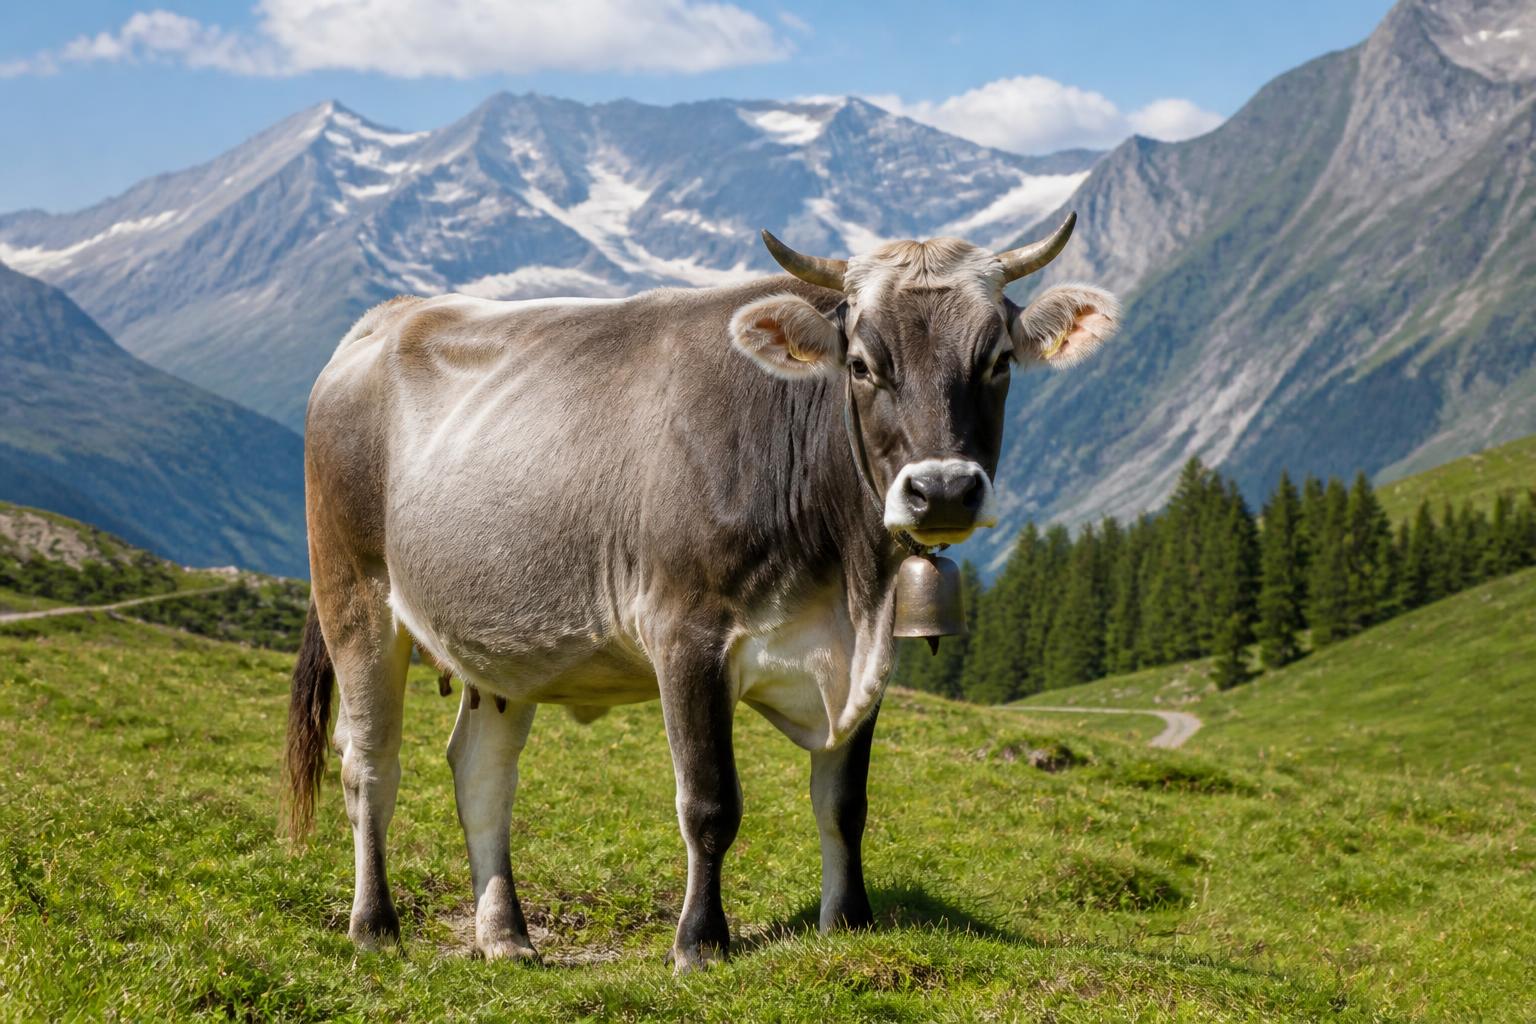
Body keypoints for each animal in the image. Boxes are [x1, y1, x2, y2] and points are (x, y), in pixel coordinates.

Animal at [282, 214, 1119, 971]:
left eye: (998, 361)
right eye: (860, 363)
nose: (942, 490)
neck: (844, 579)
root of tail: (387, 317)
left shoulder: (865, 655)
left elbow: (844, 804)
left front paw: (849, 923)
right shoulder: (686, 635)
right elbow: (711, 804)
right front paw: (699, 942)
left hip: (500, 640)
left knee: (481, 772)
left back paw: (505, 936)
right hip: (353, 592)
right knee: (369, 763)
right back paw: (374, 925)